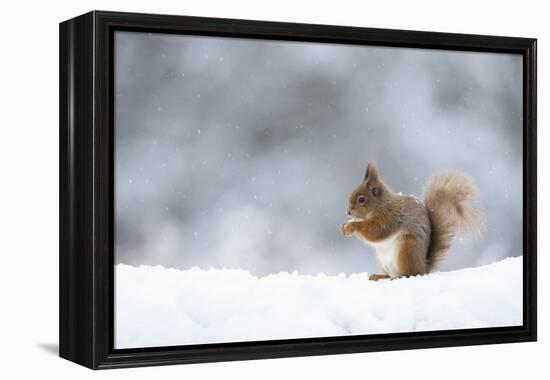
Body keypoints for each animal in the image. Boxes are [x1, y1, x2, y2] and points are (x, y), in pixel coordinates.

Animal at [342, 162, 486, 280]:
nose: (348, 212)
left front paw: (352, 226)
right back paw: (379, 275)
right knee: (389, 274)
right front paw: (343, 226)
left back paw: (399, 277)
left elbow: (377, 231)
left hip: (407, 248)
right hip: (382, 259)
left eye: (361, 199)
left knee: (409, 273)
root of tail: (423, 267)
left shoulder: (390, 216)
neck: (381, 204)